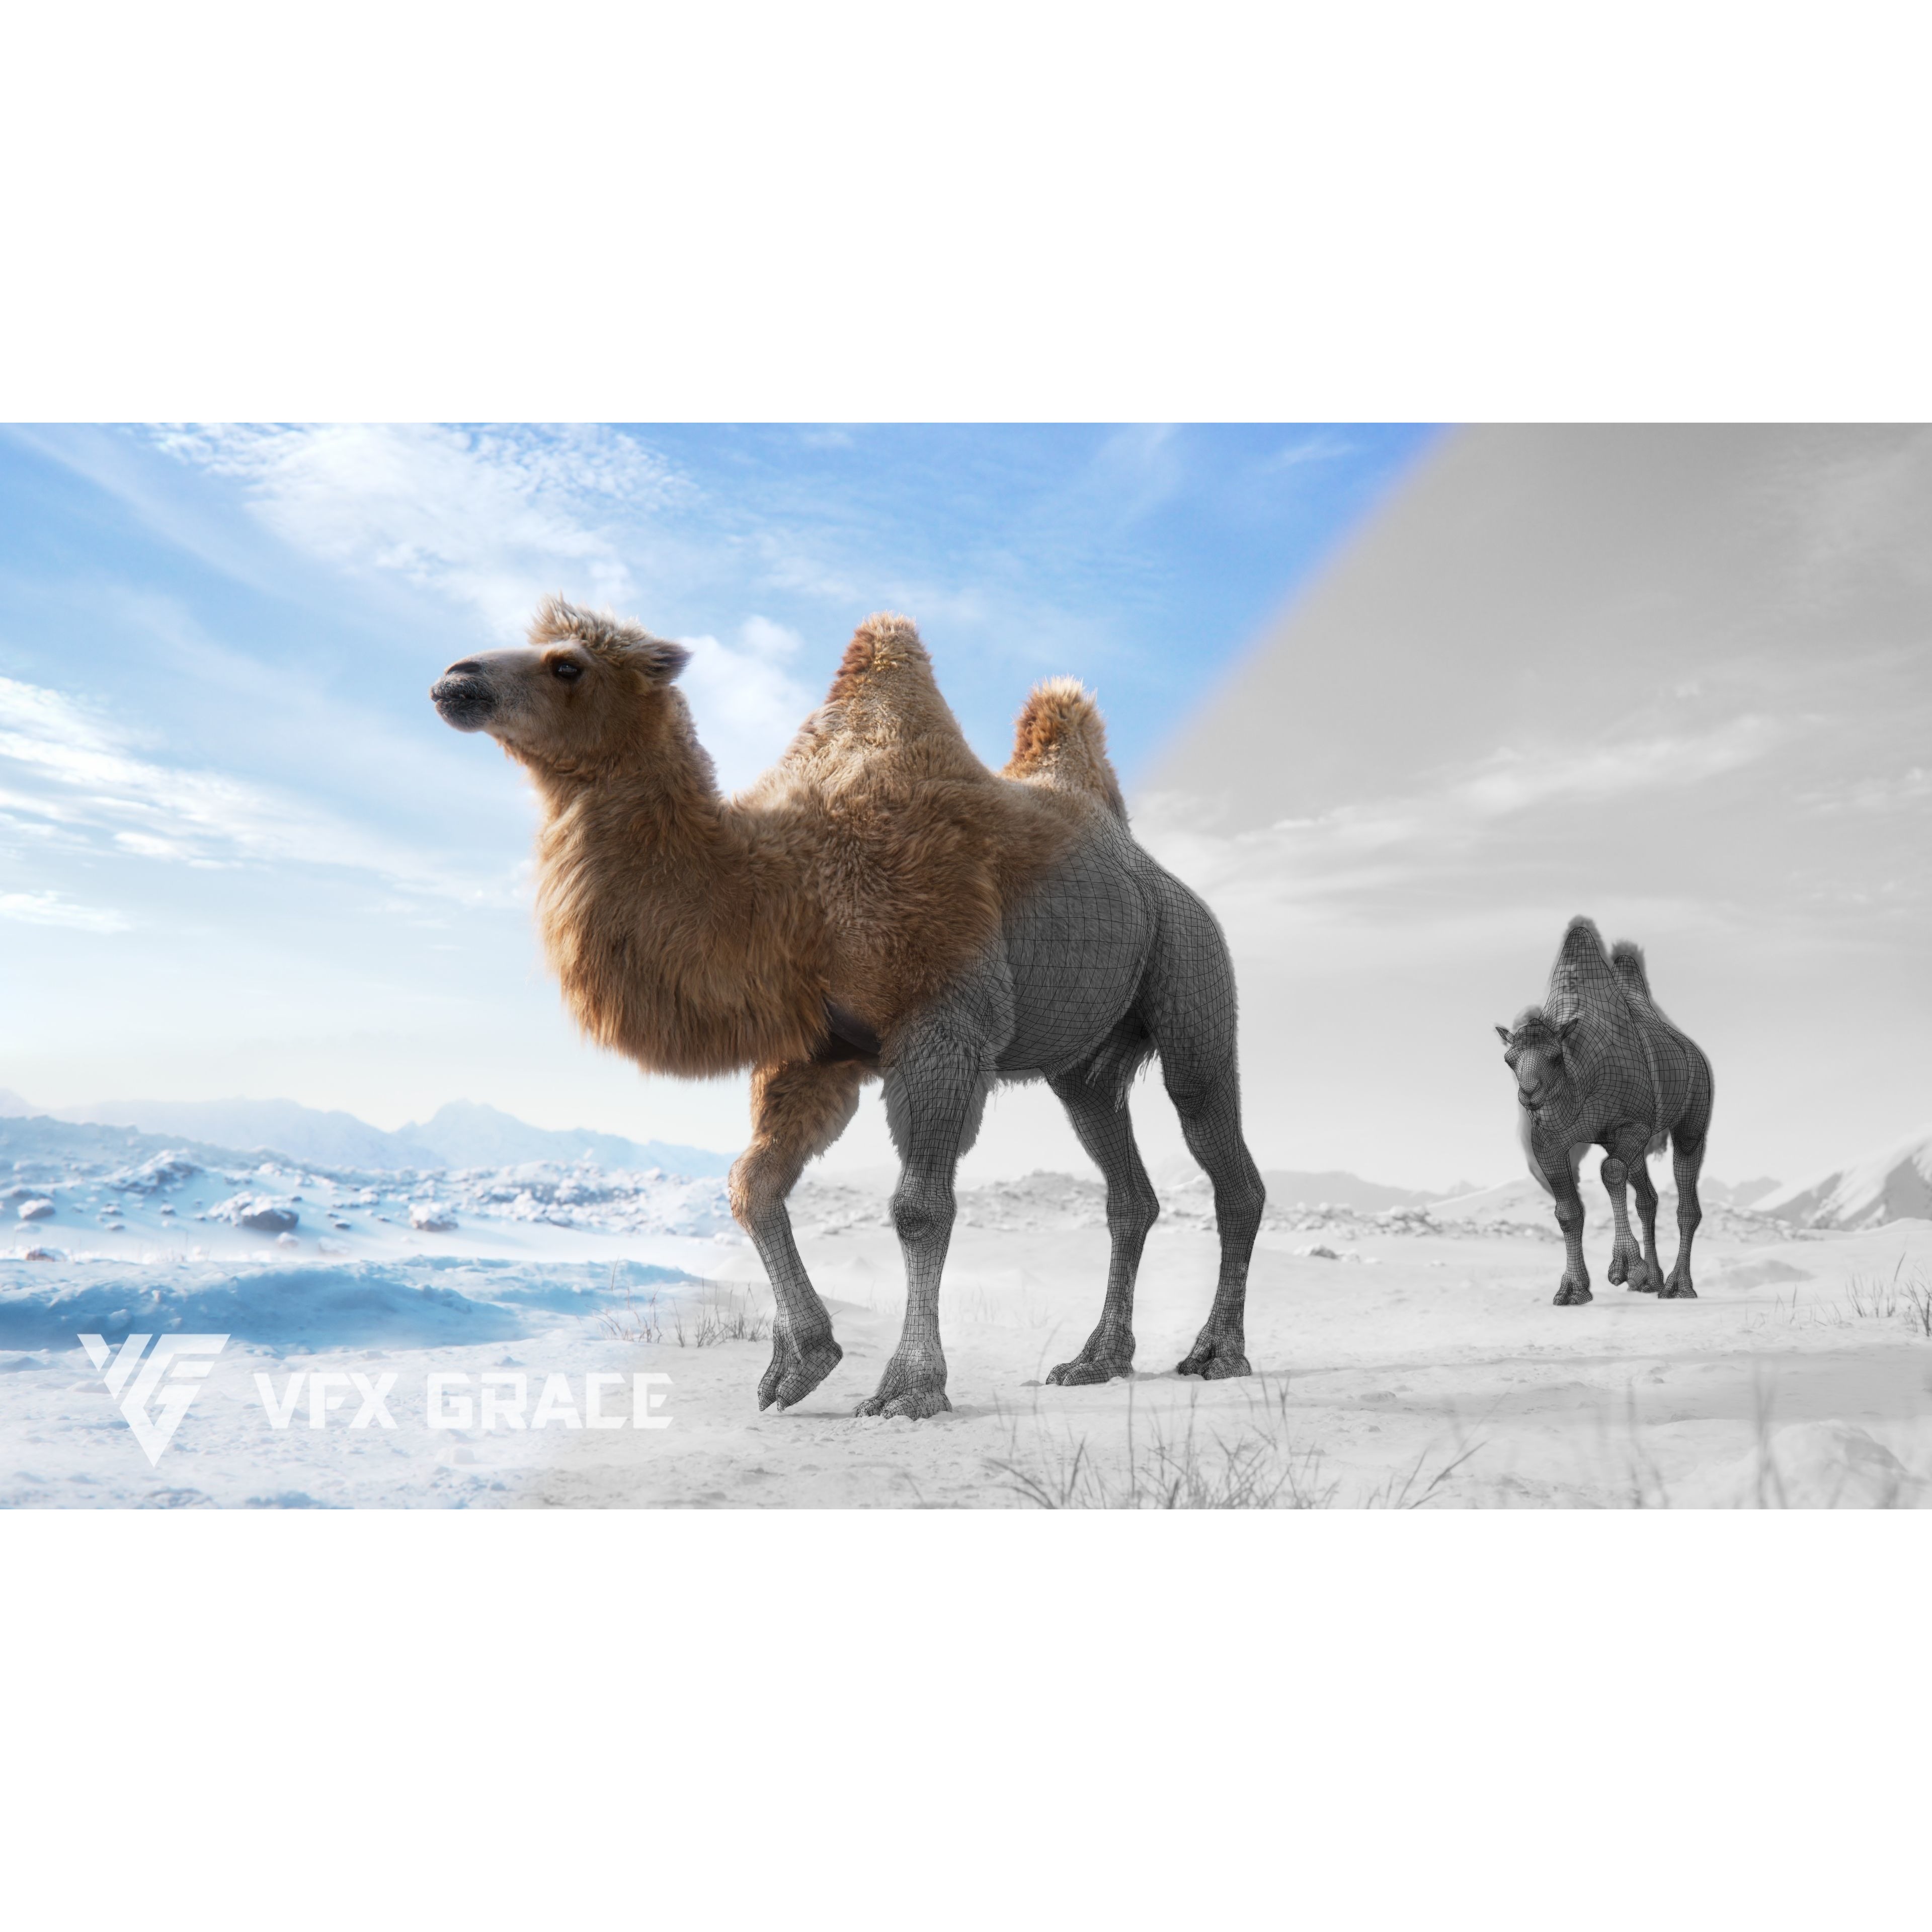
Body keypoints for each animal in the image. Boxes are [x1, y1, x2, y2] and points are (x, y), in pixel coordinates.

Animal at [430, 598, 1265, 1417]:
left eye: (567, 666)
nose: (455, 681)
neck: (789, 884)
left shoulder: (942, 1025)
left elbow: (918, 1207)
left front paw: (910, 1387)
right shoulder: (814, 1053)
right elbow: (752, 1185)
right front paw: (801, 1362)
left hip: (1194, 973)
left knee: (1221, 1151)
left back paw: (1217, 1354)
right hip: (1083, 1068)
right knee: (1127, 1190)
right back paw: (1097, 1361)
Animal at [1496, 916, 1714, 1305]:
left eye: (1555, 1058)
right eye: (1509, 1060)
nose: (1529, 1096)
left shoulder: (1630, 1126)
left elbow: (1610, 1172)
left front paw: (1626, 1268)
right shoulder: (1550, 1141)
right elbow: (1567, 1211)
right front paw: (1572, 1290)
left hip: (1691, 1117)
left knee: (1685, 1195)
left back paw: (1678, 1287)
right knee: (1647, 1197)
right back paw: (1653, 1281)